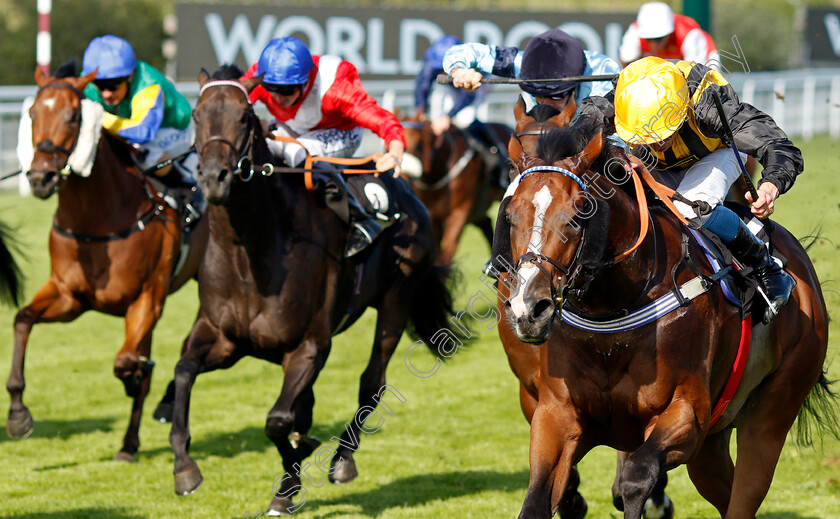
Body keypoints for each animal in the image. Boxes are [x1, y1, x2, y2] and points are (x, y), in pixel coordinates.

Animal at [7, 67, 210, 462]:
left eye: (74, 115)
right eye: (32, 114)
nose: (40, 178)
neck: (100, 220)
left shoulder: (147, 299)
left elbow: (126, 361)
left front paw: (135, 380)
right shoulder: (69, 297)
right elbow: (23, 319)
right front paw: (18, 414)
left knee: (187, 343)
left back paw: (157, 410)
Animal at [166, 66, 452, 516]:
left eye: (245, 118)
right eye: (196, 114)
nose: (213, 179)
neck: (250, 256)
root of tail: (406, 188)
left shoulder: (310, 347)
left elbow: (277, 421)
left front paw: (287, 485)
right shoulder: (222, 339)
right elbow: (183, 373)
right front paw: (185, 469)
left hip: (397, 298)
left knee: (372, 381)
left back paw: (343, 460)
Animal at [502, 114, 832, 519]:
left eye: (579, 214)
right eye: (510, 214)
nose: (527, 309)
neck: (613, 314)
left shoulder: (686, 412)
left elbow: (636, 477)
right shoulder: (556, 414)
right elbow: (537, 500)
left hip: (773, 408)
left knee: (747, 488)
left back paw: (775, 280)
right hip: (713, 441)